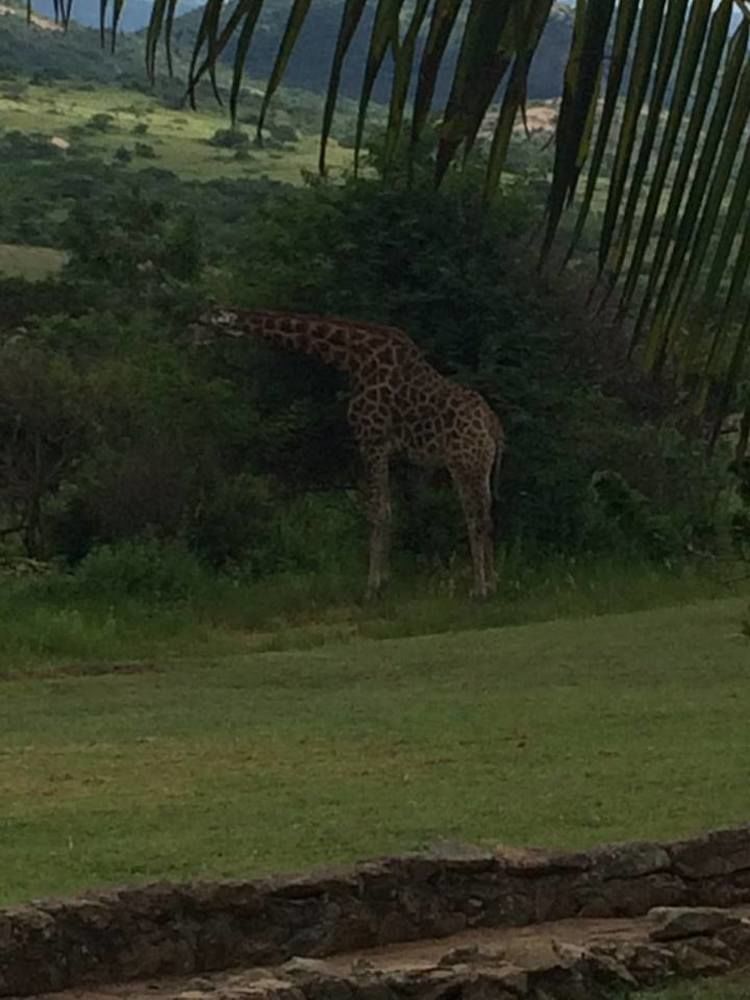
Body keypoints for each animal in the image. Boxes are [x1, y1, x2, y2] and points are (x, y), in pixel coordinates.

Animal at [191, 308, 508, 596]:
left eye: (205, 322)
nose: (189, 338)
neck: (353, 358)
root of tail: (494, 427)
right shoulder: (388, 452)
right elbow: (388, 509)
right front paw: (385, 581)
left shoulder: (372, 441)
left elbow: (378, 511)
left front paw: (372, 587)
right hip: (481, 466)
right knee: (487, 514)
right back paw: (492, 583)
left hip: (464, 463)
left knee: (475, 515)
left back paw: (479, 589)